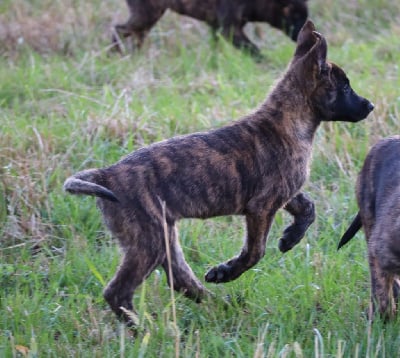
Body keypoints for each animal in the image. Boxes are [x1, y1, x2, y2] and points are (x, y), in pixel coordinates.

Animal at [64, 20, 374, 324]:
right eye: (345, 88)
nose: (370, 105)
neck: (288, 120)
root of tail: (106, 174)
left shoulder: (283, 194)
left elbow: (308, 208)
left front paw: (290, 238)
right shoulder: (261, 207)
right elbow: (255, 251)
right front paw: (228, 271)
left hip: (163, 236)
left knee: (180, 280)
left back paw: (223, 307)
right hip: (148, 241)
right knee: (118, 291)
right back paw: (142, 328)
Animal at [111, 0, 308, 57]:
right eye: (295, 16)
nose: (303, 31)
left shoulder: (216, 27)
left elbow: (215, 47)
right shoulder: (229, 29)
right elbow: (254, 50)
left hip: (148, 18)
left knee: (135, 36)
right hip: (146, 15)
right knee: (118, 29)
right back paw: (115, 55)